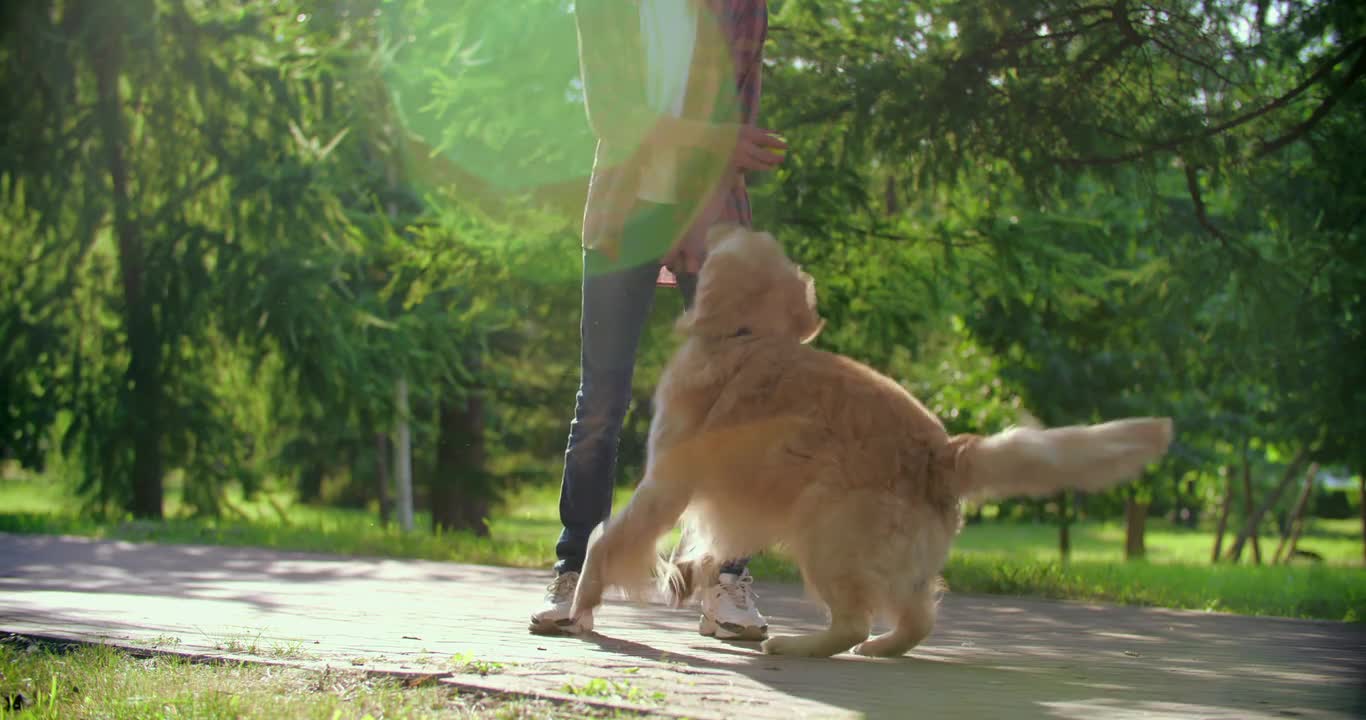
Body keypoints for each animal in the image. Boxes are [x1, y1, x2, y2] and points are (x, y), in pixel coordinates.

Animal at [565, 224, 1174, 658]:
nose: (716, 217)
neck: (745, 334)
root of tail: (944, 452)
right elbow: (699, 546)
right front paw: (686, 575)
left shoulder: (666, 483)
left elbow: (607, 541)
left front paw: (583, 601)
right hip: (884, 554)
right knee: (917, 616)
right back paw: (882, 647)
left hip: (824, 532)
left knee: (853, 618)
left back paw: (799, 645)